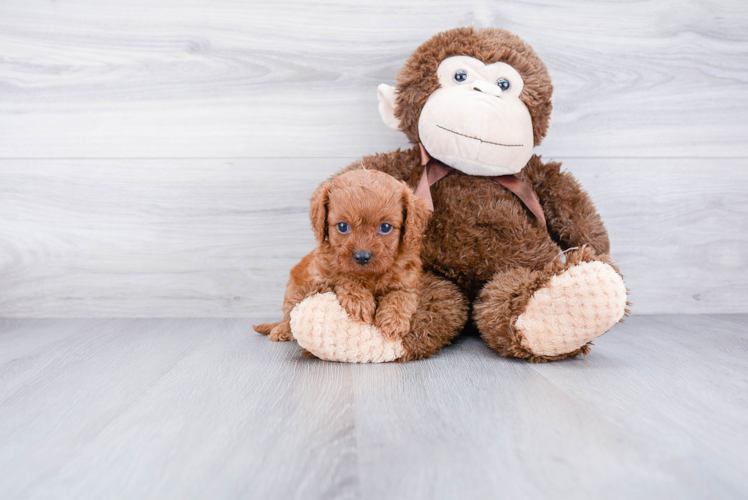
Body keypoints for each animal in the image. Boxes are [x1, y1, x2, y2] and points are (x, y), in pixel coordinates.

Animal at [254, 170, 430, 342]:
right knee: (289, 313)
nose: (362, 257)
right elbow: (344, 276)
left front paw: (394, 321)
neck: (369, 276)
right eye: (342, 226)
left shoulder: (408, 283)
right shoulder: (320, 277)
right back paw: (281, 330)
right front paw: (360, 301)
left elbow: (401, 296)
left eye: (385, 227)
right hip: (294, 289)